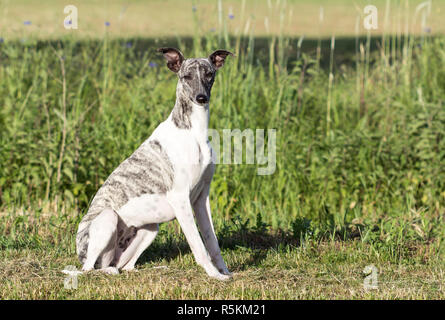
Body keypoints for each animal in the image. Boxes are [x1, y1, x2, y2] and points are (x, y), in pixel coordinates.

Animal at [75, 47, 236, 280]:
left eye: (209, 74)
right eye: (186, 76)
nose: (201, 98)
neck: (192, 131)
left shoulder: (201, 199)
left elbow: (212, 241)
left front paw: (225, 271)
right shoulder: (181, 200)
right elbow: (198, 245)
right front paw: (215, 275)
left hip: (149, 230)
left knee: (125, 266)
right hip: (108, 219)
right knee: (89, 269)